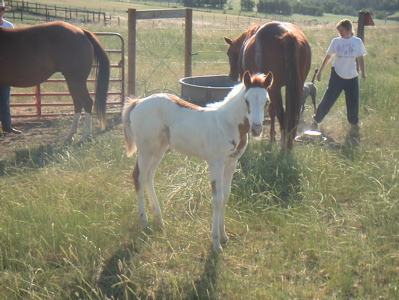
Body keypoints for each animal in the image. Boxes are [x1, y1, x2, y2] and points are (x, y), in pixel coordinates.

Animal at [122, 71, 272, 253]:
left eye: (267, 101)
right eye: (247, 100)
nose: (257, 129)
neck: (227, 124)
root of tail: (138, 102)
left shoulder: (231, 164)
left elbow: (226, 196)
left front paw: (224, 236)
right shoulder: (216, 163)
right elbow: (217, 199)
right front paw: (216, 244)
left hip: (160, 148)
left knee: (148, 177)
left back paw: (159, 221)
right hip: (146, 149)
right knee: (139, 177)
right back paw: (144, 223)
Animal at [225, 21, 312, 150]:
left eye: (229, 53)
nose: (232, 75)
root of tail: (287, 34)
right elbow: (272, 109)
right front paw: (272, 138)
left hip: (275, 88)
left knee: (282, 114)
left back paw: (284, 146)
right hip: (298, 86)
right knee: (293, 114)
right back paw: (289, 143)